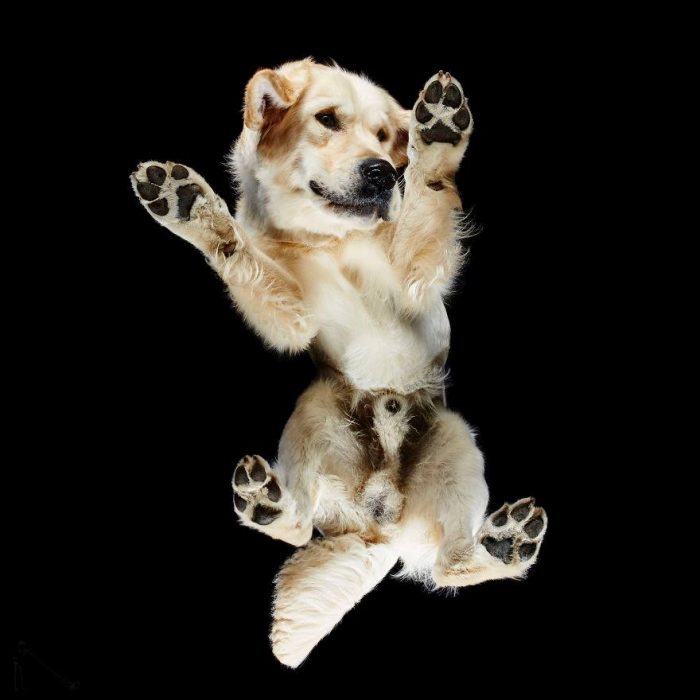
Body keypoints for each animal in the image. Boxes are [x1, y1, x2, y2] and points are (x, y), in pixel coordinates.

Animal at [130, 58, 548, 668]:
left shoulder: (416, 282)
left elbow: (425, 203)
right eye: (327, 120)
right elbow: (245, 259)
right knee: (301, 526)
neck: (332, 241)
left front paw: (437, 138)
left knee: (451, 564)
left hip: (456, 446)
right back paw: (267, 501)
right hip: (313, 415)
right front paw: (195, 212)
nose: (382, 173)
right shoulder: (294, 314)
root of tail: (381, 523)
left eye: (384, 135)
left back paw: (504, 542)